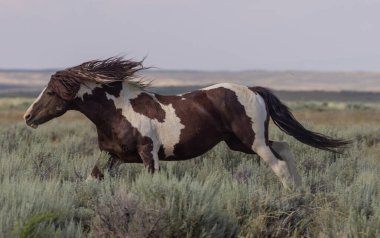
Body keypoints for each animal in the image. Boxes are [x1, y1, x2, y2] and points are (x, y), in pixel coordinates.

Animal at [23, 57, 350, 188]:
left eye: (51, 92)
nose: (28, 117)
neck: (119, 111)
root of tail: (253, 90)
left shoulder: (149, 155)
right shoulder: (111, 156)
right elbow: (91, 180)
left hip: (253, 142)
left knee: (279, 164)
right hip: (241, 143)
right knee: (285, 148)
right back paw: (300, 190)